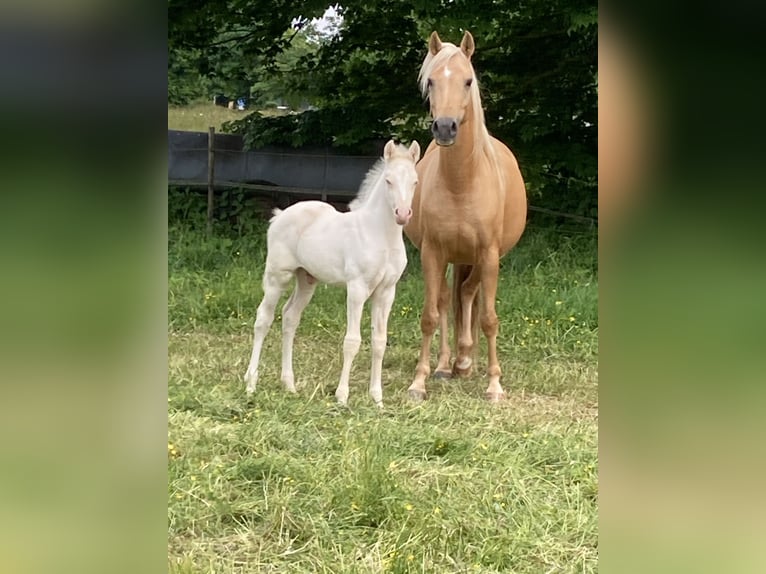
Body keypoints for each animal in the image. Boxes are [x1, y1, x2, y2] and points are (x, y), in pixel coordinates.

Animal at [244, 140, 420, 410]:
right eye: (388, 180)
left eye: (415, 182)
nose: (402, 214)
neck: (380, 235)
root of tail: (279, 215)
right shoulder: (357, 288)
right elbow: (352, 341)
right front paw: (342, 396)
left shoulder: (386, 292)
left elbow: (379, 342)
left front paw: (377, 398)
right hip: (277, 276)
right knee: (263, 318)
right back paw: (251, 383)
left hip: (306, 279)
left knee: (290, 317)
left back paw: (289, 385)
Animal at [408, 29, 528, 402]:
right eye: (431, 81)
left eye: (468, 80)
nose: (445, 128)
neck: (462, 182)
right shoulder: (432, 253)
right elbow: (430, 315)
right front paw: (419, 381)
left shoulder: (488, 255)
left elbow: (487, 317)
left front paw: (494, 385)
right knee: (450, 300)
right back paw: (448, 364)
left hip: (480, 257)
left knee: (469, 294)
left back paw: (466, 360)